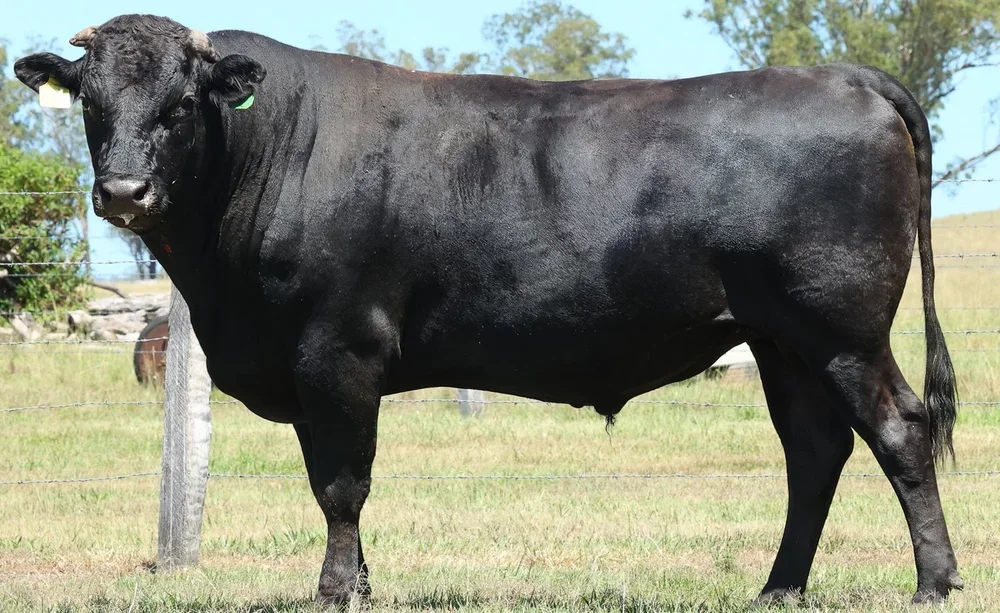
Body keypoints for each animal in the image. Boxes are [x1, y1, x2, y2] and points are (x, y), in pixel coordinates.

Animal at [15, 13, 963, 607]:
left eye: (181, 105)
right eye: (91, 106)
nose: (123, 192)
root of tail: (843, 75)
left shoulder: (337, 348)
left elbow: (343, 482)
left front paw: (333, 590)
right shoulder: (299, 363)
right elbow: (329, 482)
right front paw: (359, 585)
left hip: (841, 328)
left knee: (900, 429)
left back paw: (934, 580)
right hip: (780, 339)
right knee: (815, 449)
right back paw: (779, 586)